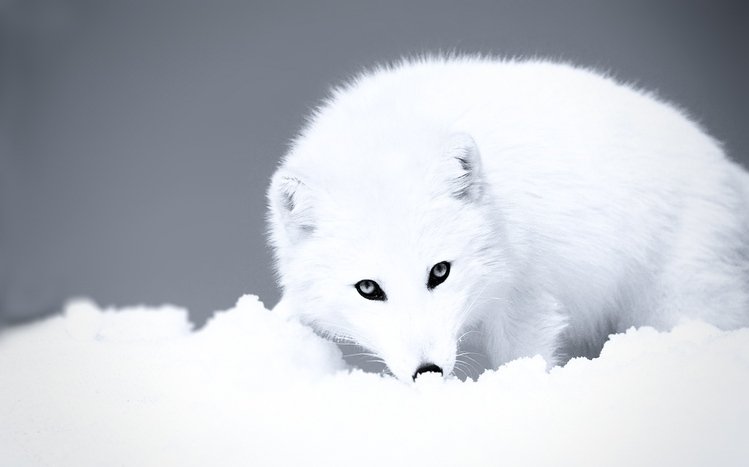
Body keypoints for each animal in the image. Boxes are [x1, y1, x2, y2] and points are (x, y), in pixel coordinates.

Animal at [266, 56, 749, 383]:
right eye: (368, 288)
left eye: (440, 272)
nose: (428, 371)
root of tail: (726, 167)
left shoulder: (526, 296)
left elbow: (525, 356)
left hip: (678, 302)